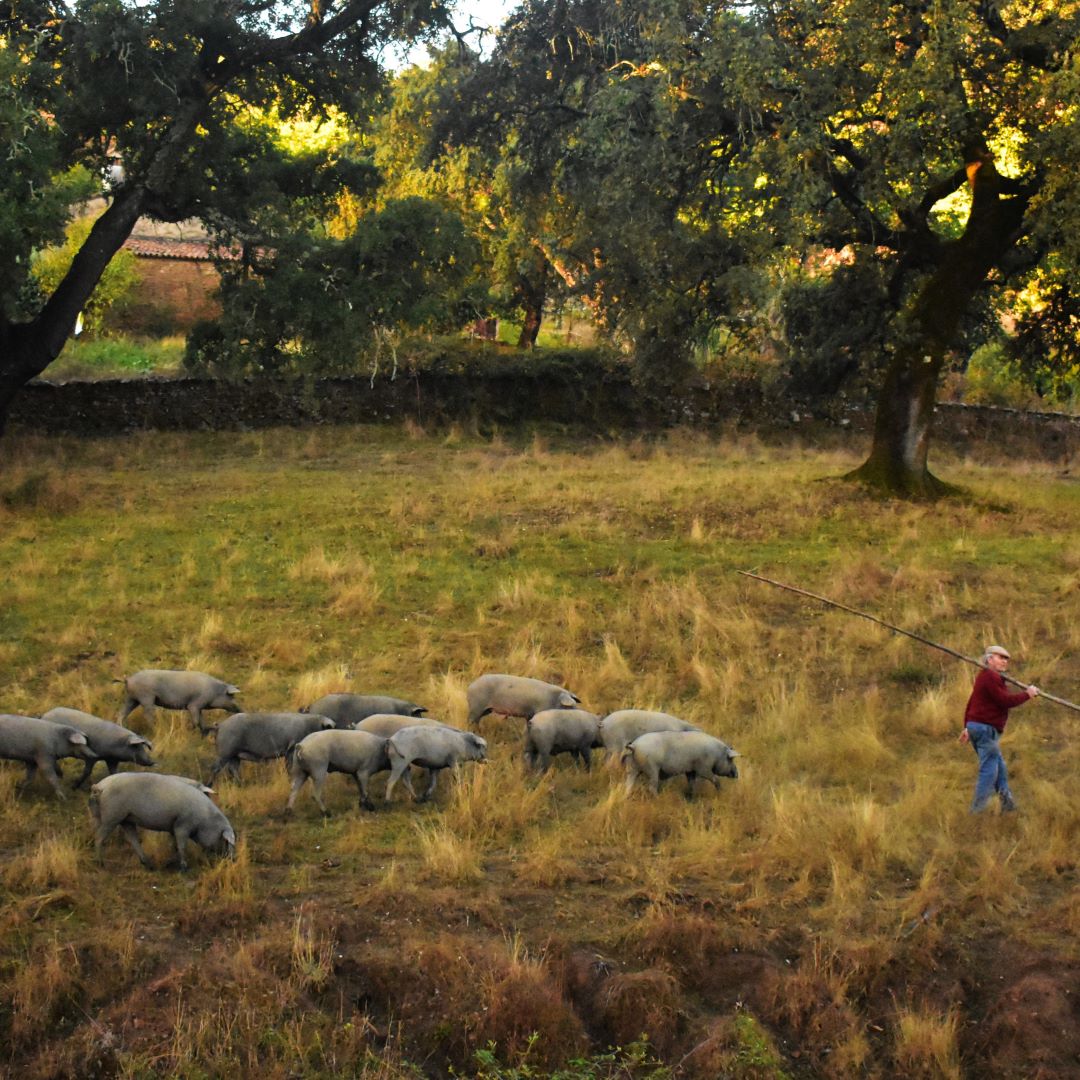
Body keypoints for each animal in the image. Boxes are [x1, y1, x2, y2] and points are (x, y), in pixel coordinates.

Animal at [89, 772, 236, 870]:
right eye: (224, 839)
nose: (231, 860)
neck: (205, 819)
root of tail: (99, 786)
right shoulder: (183, 825)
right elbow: (182, 846)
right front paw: (184, 868)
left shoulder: (174, 827)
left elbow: (174, 845)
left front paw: (171, 862)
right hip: (111, 817)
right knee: (99, 837)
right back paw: (101, 863)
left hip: (123, 819)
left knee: (133, 839)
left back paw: (148, 865)